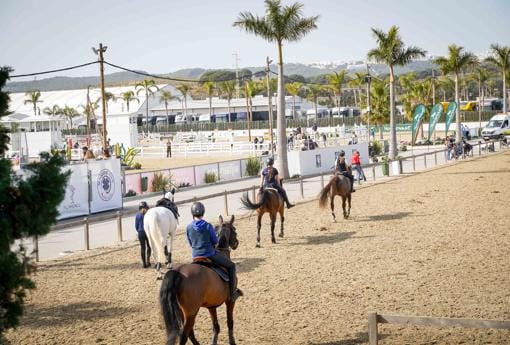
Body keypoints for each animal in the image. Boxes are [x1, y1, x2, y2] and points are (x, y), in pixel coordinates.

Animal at [159, 215, 239, 344]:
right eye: (234, 230)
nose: (236, 243)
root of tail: (179, 272)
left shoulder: (212, 306)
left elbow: (216, 326)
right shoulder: (230, 301)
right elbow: (230, 322)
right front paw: (232, 341)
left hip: (182, 312)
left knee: (189, 333)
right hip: (191, 313)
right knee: (184, 334)